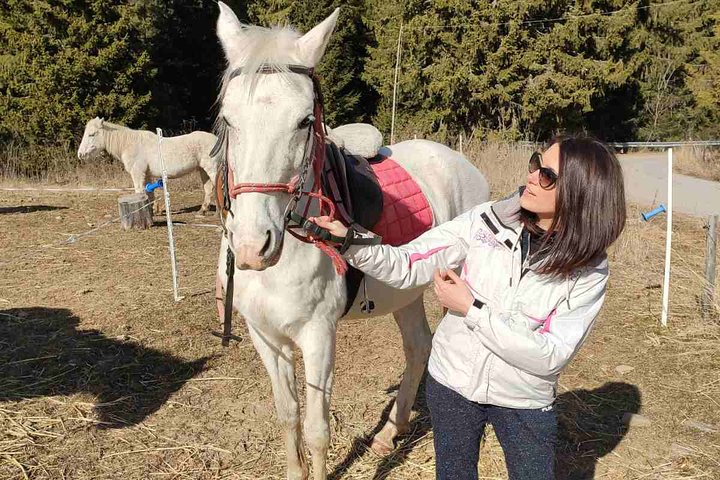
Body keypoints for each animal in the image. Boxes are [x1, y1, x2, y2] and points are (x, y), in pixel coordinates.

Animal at [77, 117, 219, 215]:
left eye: (91, 134)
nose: (80, 154)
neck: (130, 144)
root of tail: (217, 140)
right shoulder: (147, 175)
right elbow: (149, 194)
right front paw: (153, 211)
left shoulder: (137, 173)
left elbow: (139, 191)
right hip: (202, 170)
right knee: (208, 189)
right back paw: (202, 211)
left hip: (212, 169)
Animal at [212, 2, 490, 476]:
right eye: (229, 119)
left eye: (304, 121)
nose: (252, 246)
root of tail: (461, 163)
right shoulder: (264, 336)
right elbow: (287, 415)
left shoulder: (318, 336)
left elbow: (316, 429)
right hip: (408, 291)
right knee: (418, 345)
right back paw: (388, 434)